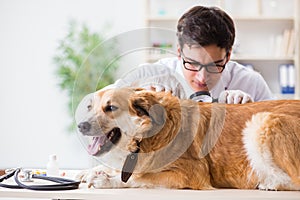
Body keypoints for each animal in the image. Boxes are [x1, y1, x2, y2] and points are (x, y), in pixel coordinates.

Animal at [75, 88, 300, 191]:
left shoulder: (191, 173)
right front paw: (88, 172)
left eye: (111, 107)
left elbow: (139, 178)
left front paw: (106, 180)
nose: (81, 125)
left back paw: (270, 183)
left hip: (262, 120)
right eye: (89, 107)